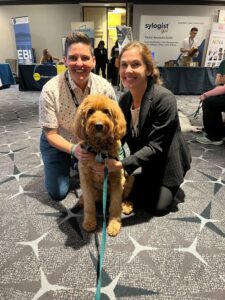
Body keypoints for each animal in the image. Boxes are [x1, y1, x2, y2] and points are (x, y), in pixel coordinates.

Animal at [74, 95, 134, 236]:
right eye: (90, 111)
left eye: (106, 111)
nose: (99, 125)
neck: (99, 149)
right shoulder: (85, 179)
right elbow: (89, 205)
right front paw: (89, 222)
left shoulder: (117, 178)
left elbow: (115, 204)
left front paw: (114, 224)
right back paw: (81, 201)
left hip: (129, 179)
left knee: (123, 198)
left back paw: (126, 205)